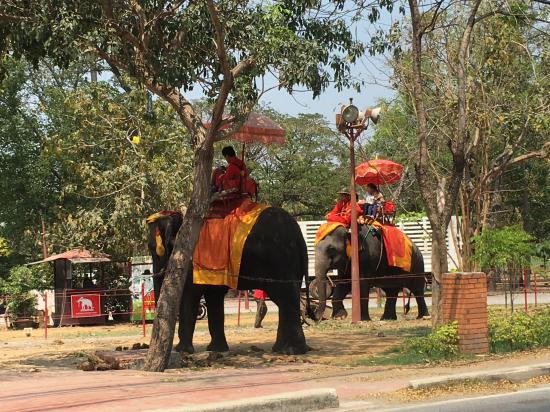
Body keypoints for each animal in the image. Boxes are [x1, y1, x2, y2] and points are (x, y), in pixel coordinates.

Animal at [149, 208, 312, 356]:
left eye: (153, 249)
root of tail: (299, 238)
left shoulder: (193, 261)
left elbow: (191, 295)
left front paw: (182, 351)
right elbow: (214, 295)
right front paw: (216, 349)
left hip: (280, 261)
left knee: (285, 296)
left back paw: (292, 351)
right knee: (285, 299)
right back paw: (281, 349)